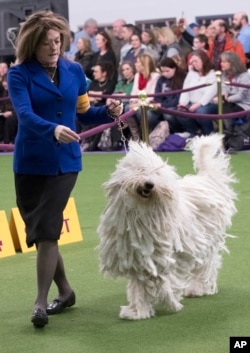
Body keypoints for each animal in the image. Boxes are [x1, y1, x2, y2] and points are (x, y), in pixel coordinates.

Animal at [96, 134, 237, 320]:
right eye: (141, 170)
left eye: (157, 173)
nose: (149, 184)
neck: (143, 213)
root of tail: (207, 179)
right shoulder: (138, 258)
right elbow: (139, 285)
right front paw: (138, 311)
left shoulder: (167, 256)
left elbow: (166, 280)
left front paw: (170, 300)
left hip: (207, 240)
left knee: (207, 264)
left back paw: (198, 288)